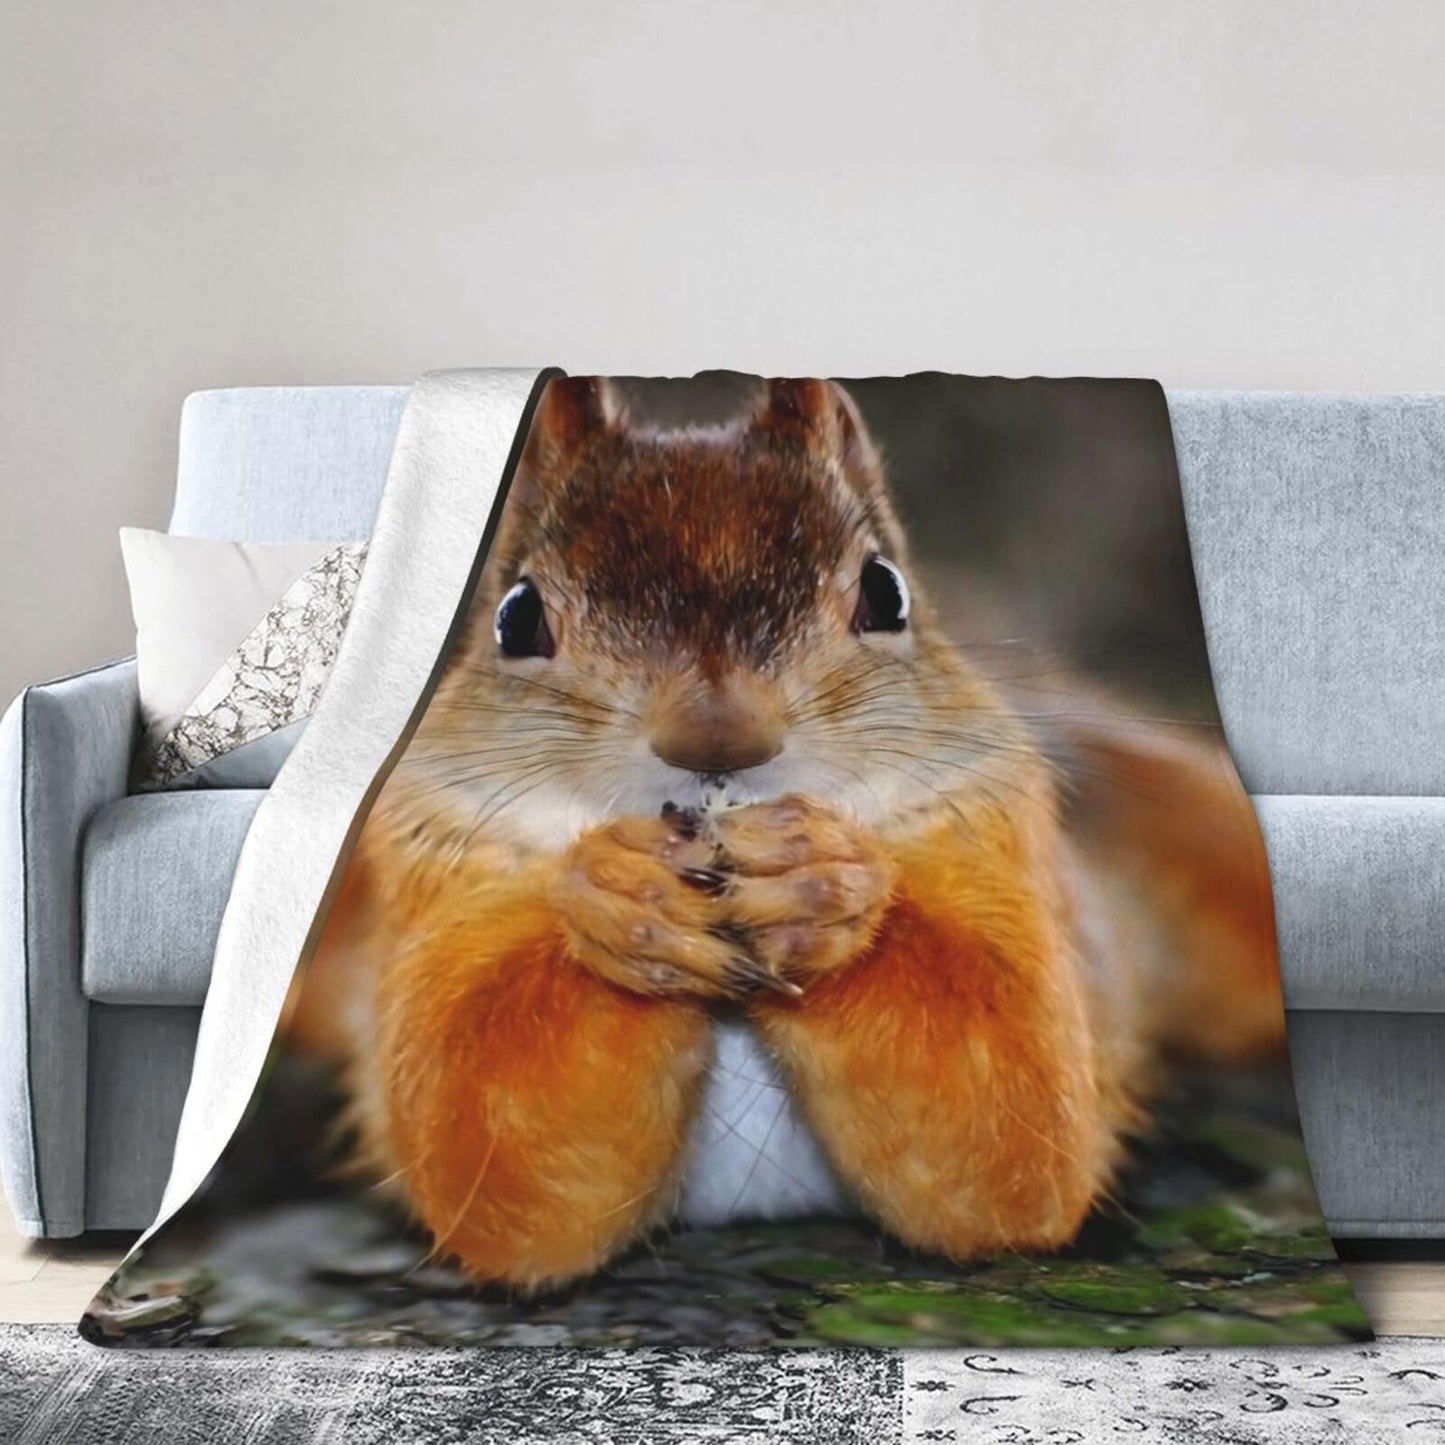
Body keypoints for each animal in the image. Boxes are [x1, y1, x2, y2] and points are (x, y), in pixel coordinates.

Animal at [291, 376, 1284, 1291]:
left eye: (885, 593)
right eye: (516, 616)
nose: (716, 738)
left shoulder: (1000, 835)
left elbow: (1018, 1125)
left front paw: (822, 885)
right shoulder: (435, 866)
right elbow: (486, 1140)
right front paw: (619, 899)